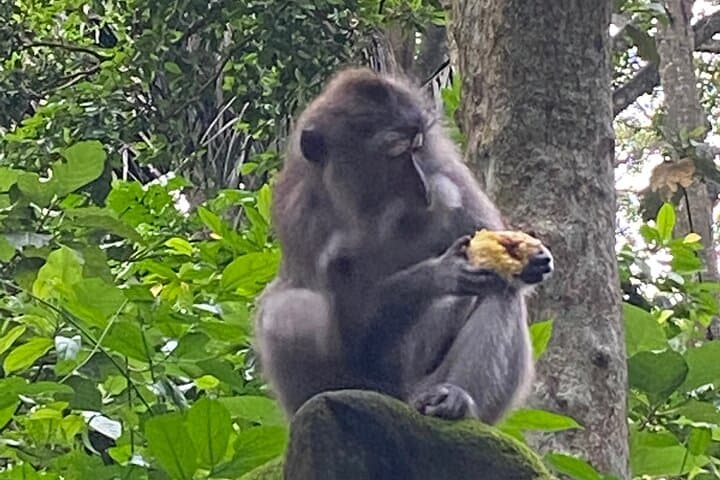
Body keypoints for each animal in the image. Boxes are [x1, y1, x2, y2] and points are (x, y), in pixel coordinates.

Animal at [254, 67, 553, 423]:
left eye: (417, 145)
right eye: (395, 152)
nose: (422, 186)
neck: (368, 210)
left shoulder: (443, 164)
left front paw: (526, 255)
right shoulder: (299, 217)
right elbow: (351, 329)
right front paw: (440, 273)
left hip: (426, 385)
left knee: (501, 290)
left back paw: (456, 400)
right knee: (292, 308)